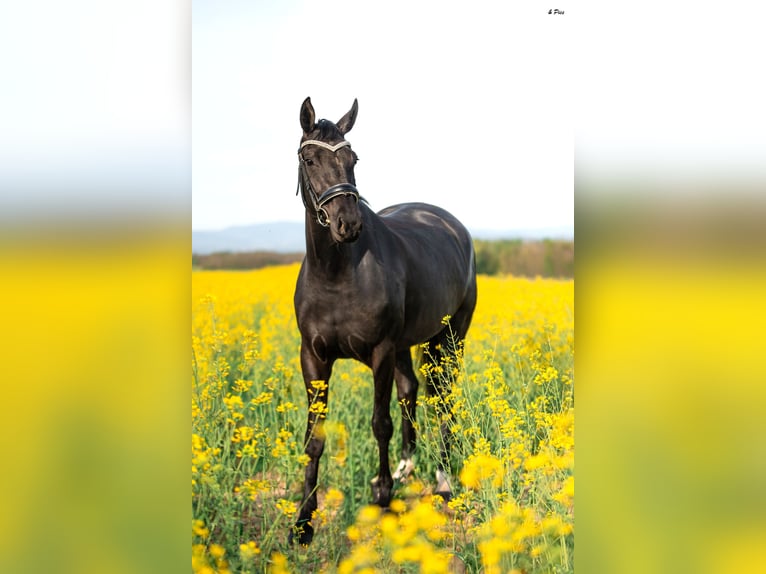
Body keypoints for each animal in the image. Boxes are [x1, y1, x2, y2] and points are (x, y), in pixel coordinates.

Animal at [291, 97, 477, 545]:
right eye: (309, 158)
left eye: (353, 158)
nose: (348, 224)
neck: (336, 273)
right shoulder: (313, 359)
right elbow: (314, 437)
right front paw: (303, 522)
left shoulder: (380, 352)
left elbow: (380, 423)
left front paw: (382, 500)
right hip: (410, 344)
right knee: (412, 390)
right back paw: (406, 469)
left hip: (450, 337)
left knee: (443, 399)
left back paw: (443, 481)